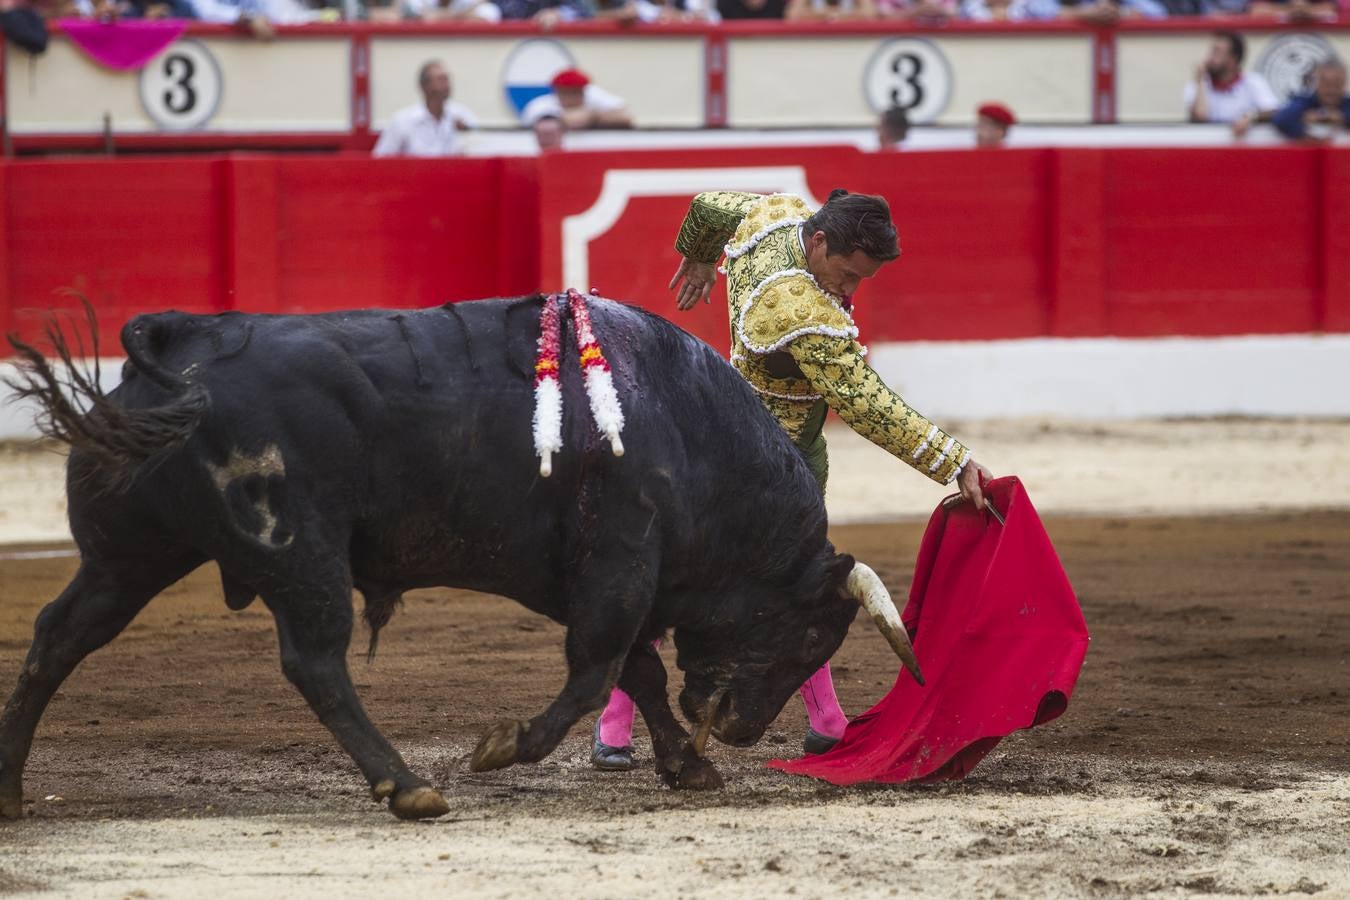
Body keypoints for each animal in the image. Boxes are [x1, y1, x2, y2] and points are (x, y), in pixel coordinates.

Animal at [0, 299, 874, 820]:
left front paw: (688, 769)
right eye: (808, 635)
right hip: (299, 553)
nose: (743, 730)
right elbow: (597, 673)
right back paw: (410, 786)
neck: (686, 427)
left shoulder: (592, 577)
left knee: (57, 636)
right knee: (316, 662)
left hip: (129, 555)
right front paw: (505, 747)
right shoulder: (619, 564)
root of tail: (185, 340)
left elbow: (641, 674)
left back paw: (10, 789)